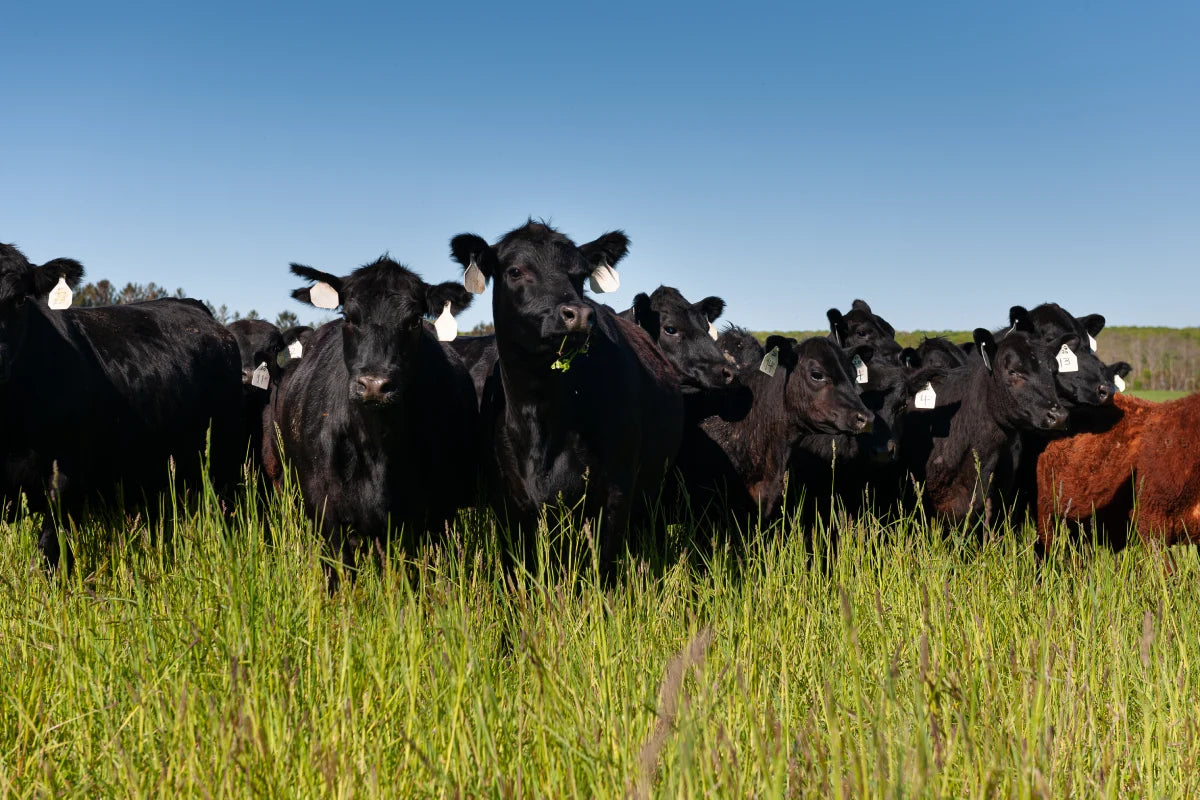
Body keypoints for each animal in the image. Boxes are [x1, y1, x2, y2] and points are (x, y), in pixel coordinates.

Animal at [448, 219, 681, 573]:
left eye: (581, 275)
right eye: (515, 271)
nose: (580, 315)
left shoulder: (617, 491)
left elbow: (604, 568)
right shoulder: (506, 500)